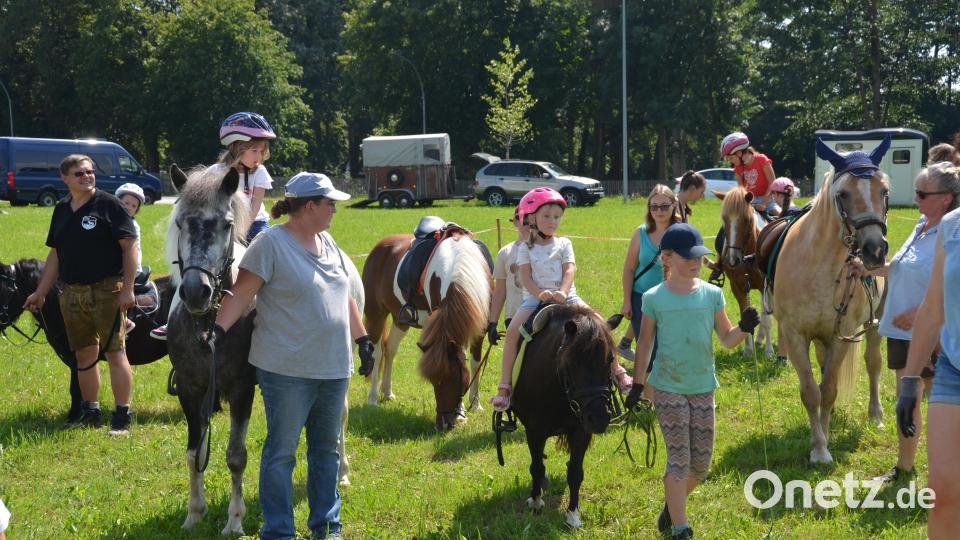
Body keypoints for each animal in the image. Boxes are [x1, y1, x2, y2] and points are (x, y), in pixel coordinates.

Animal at [362, 231, 490, 430]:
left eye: (455, 380)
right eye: (434, 382)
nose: (444, 424)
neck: (461, 266)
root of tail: (380, 246)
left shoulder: (480, 329)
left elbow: (475, 363)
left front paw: (475, 404)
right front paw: (463, 414)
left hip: (401, 320)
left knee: (390, 349)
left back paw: (387, 392)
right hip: (376, 314)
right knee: (376, 353)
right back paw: (373, 398)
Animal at [509, 304, 619, 529]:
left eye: (610, 359)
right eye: (573, 362)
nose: (599, 418)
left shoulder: (581, 431)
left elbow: (575, 472)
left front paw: (573, 515)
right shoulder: (534, 431)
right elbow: (536, 467)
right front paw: (536, 501)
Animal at [713, 188, 775, 358]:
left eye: (747, 220)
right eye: (724, 219)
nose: (733, 260)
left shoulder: (764, 286)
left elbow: (767, 319)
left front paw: (769, 351)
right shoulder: (738, 286)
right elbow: (745, 313)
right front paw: (747, 350)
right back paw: (758, 340)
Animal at [771, 139, 888, 463]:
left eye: (884, 191)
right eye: (843, 194)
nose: (875, 250)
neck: (818, 266)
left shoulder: (842, 335)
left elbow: (830, 389)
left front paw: (823, 444)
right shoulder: (795, 336)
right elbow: (812, 392)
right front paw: (819, 445)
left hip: (874, 325)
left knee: (873, 364)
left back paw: (876, 415)